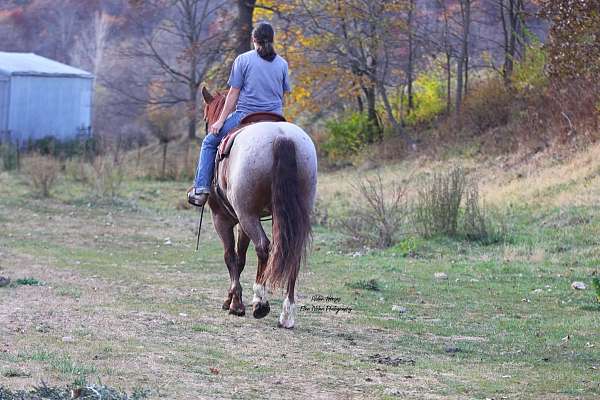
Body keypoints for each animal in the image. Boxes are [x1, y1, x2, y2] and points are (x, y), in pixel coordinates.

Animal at [199, 86, 318, 328]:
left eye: (206, 119)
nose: (211, 128)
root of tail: (282, 136)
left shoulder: (223, 218)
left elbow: (230, 256)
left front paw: (235, 304)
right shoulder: (244, 221)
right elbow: (240, 258)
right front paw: (232, 299)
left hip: (247, 215)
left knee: (264, 247)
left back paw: (260, 302)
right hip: (289, 214)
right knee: (291, 253)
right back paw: (286, 314)